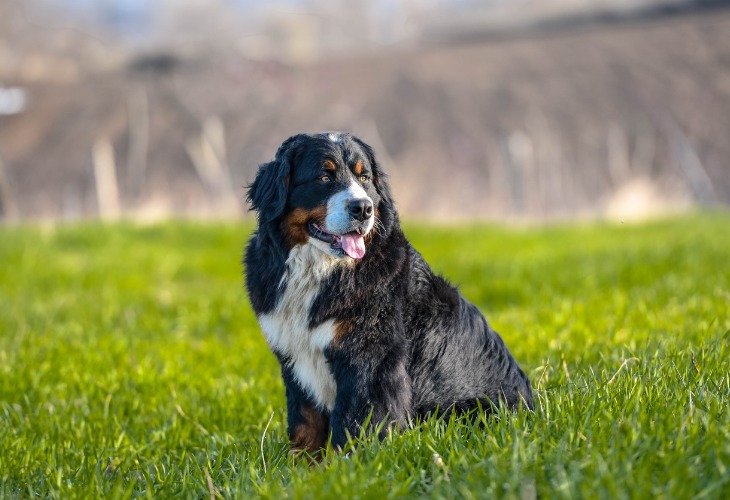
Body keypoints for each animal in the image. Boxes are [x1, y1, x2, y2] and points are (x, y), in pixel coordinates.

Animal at [242, 131, 532, 456]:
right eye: (324, 177)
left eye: (364, 177)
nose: (363, 208)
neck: (322, 272)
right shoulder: (295, 361)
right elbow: (304, 428)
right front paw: (300, 467)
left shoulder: (371, 362)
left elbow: (355, 425)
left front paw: (347, 465)